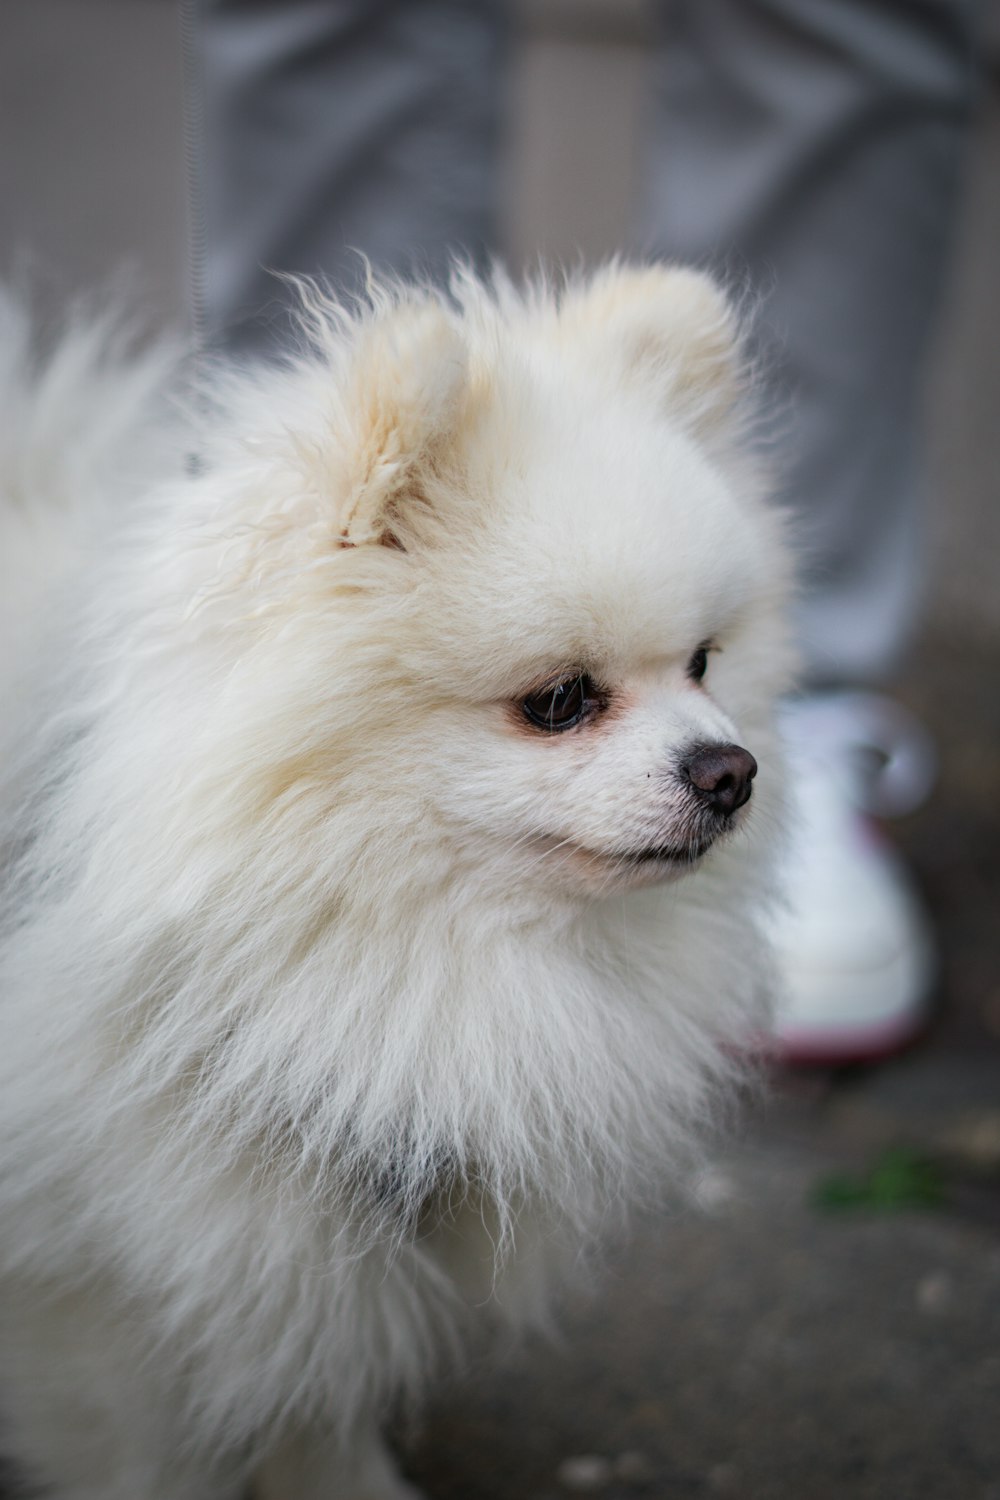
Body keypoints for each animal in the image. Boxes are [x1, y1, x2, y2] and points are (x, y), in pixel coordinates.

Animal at [1, 270, 797, 1500]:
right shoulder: (96, 1320)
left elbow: (316, 1410)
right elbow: (154, 1458)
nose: (730, 770)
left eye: (705, 663)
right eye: (559, 700)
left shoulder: (325, 1269)